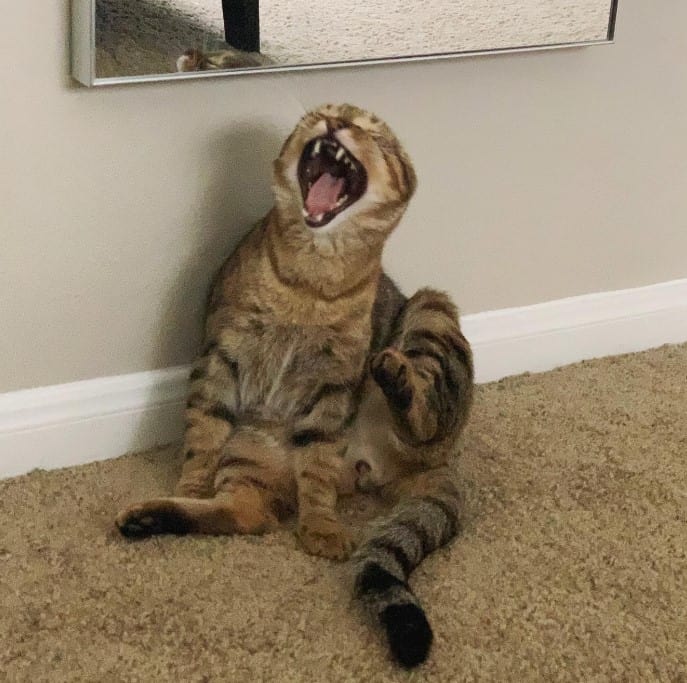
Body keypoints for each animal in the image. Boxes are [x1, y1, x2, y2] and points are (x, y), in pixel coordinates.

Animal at [115, 104, 476, 672]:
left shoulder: (333, 386)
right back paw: (149, 517)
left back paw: (394, 375)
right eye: (326, 112)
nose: (339, 122)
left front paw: (322, 528)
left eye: (375, 133)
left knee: (423, 419)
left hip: (430, 310)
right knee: (246, 513)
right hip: (247, 445)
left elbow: (319, 470)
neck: (311, 277)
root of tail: (437, 465)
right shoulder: (219, 358)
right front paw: (190, 484)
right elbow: (202, 434)